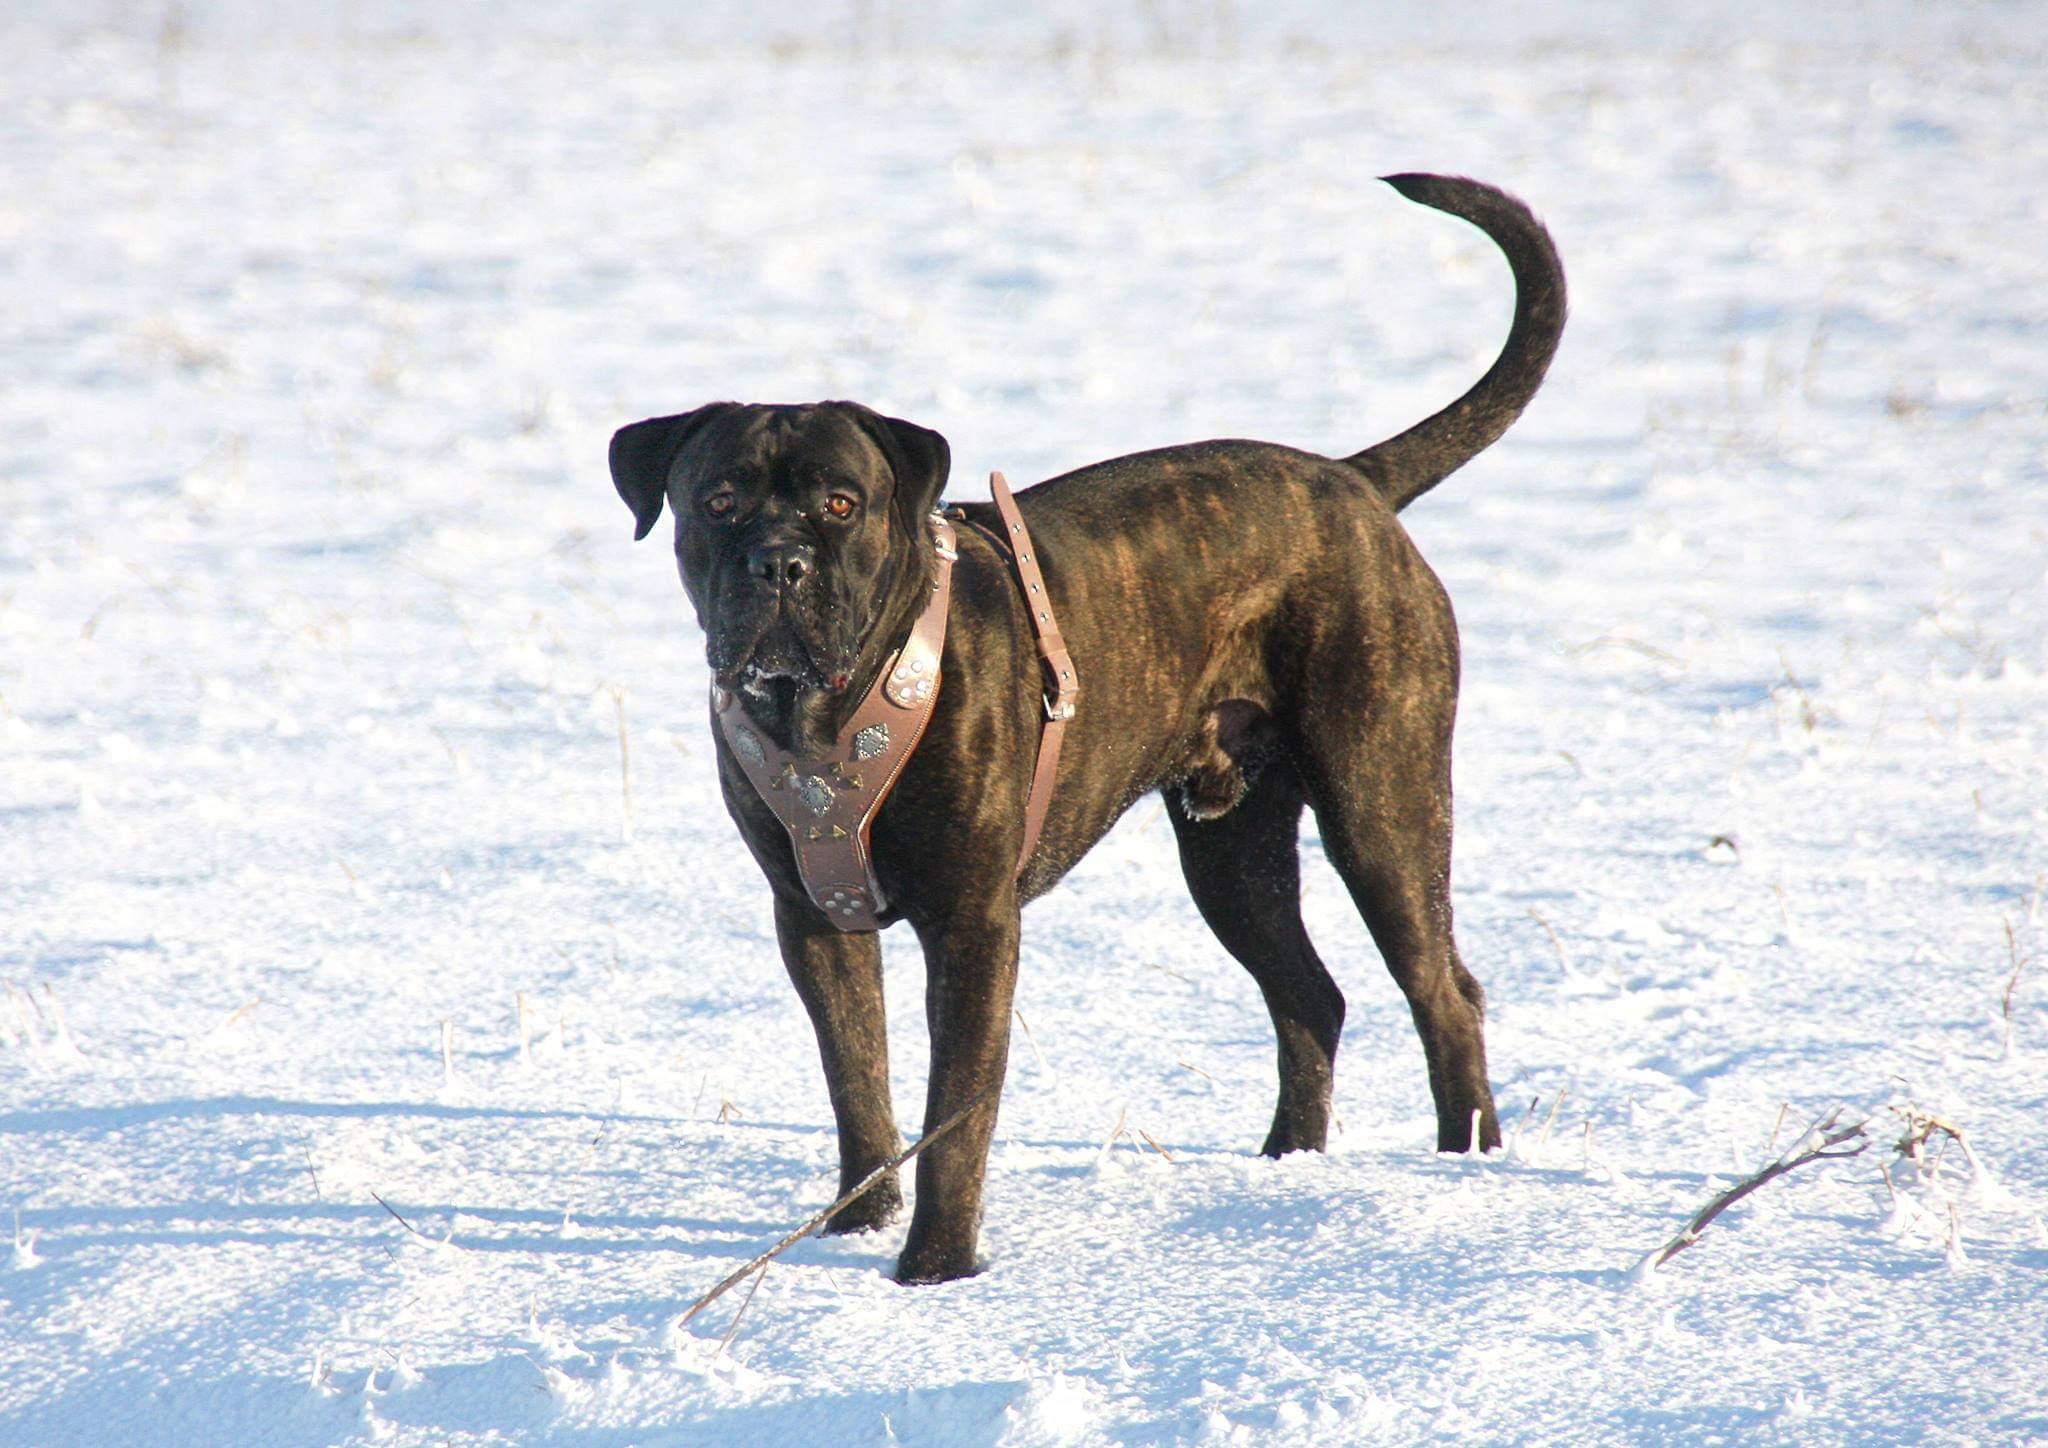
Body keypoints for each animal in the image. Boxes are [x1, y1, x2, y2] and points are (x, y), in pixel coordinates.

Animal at [606, 175, 1564, 1286]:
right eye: (716, 500)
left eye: (842, 503)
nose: (778, 562)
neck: (821, 716)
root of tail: (1354, 480)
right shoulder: (811, 917)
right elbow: (859, 1085)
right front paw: (859, 1226)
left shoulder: (971, 924)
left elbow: (955, 1109)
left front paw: (934, 1266)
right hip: (1232, 850)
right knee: (1309, 996)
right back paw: (1284, 1167)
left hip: (1381, 804)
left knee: (1443, 992)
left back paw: (1460, 1172)